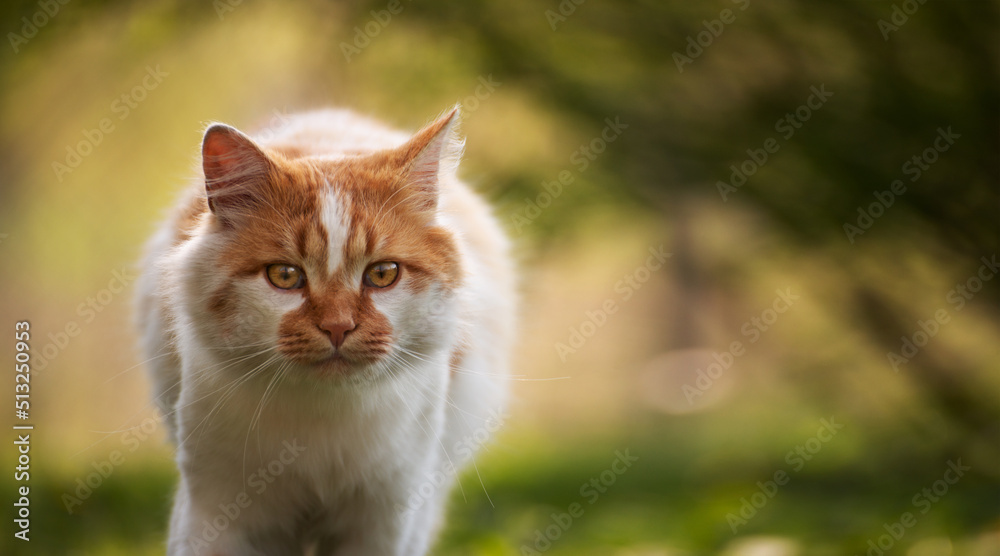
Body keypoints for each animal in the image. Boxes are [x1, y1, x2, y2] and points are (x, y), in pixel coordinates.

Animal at [134, 105, 516, 556]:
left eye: (383, 274)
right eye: (285, 276)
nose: (337, 327)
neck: (323, 421)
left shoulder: (387, 518)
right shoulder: (215, 512)